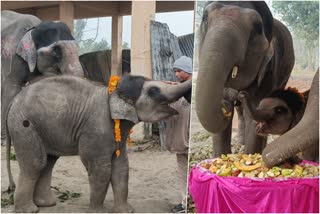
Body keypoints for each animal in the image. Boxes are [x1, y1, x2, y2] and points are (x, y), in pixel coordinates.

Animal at [6, 75, 191, 212]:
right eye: (153, 91)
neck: (112, 93)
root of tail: (13, 101)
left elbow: (121, 167)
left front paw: (126, 211)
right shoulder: (96, 131)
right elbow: (100, 169)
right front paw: (98, 212)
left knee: (49, 162)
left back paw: (47, 205)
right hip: (24, 126)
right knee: (36, 163)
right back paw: (30, 210)